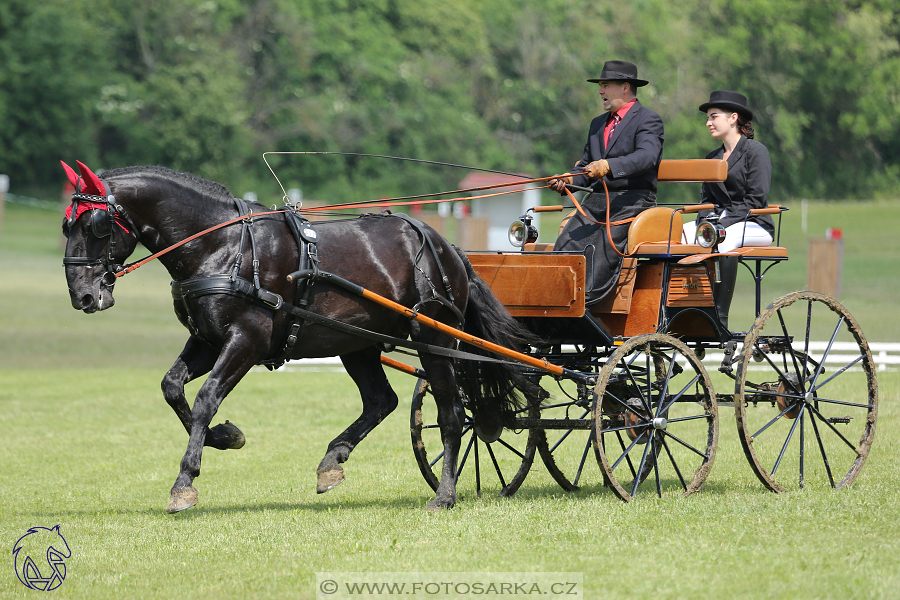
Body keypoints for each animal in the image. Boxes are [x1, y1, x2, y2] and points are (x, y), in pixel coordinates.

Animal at [65, 162, 540, 512]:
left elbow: (205, 398)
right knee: (381, 400)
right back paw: (333, 459)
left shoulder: (246, 341)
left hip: (434, 338)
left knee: (453, 412)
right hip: (356, 342)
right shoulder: (208, 340)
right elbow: (172, 388)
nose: (81, 295)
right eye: (66, 226)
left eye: (96, 225)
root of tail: (449, 249)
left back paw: (444, 494)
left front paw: (185, 482)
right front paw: (225, 437)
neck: (223, 246)